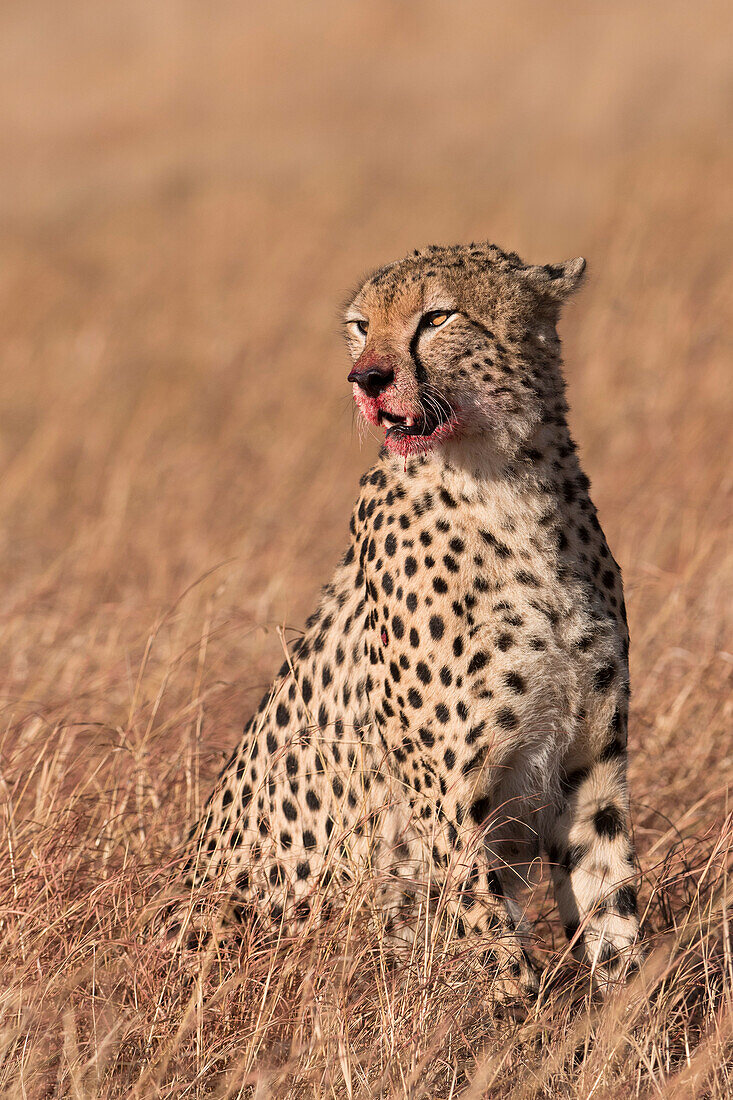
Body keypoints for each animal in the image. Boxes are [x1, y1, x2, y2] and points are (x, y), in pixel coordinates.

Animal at [186, 240, 642, 998]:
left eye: (436, 317)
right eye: (359, 325)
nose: (367, 379)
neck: (507, 487)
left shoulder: (591, 771)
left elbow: (615, 917)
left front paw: (633, 1024)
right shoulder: (448, 800)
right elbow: (493, 943)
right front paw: (526, 1021)